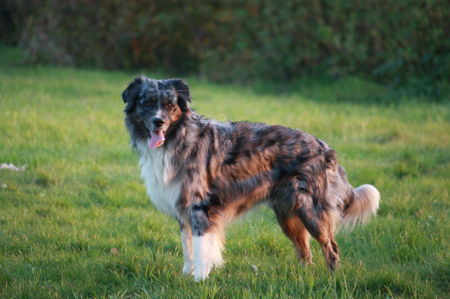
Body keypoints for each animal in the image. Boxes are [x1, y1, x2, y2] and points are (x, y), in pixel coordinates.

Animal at [120, 75, 380, 282]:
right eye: (147, 103)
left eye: (169, 105)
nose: (159, 122)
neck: (178, 137)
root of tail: (325, 149)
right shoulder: (183, 213)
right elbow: (188, 248)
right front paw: (186, 275)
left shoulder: (200, 209)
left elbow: (202, 249)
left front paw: (199, 280)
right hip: (288, 215)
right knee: (305, 252)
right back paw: (303, 278)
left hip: (311, 211)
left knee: (331, 248)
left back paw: (331, 279)